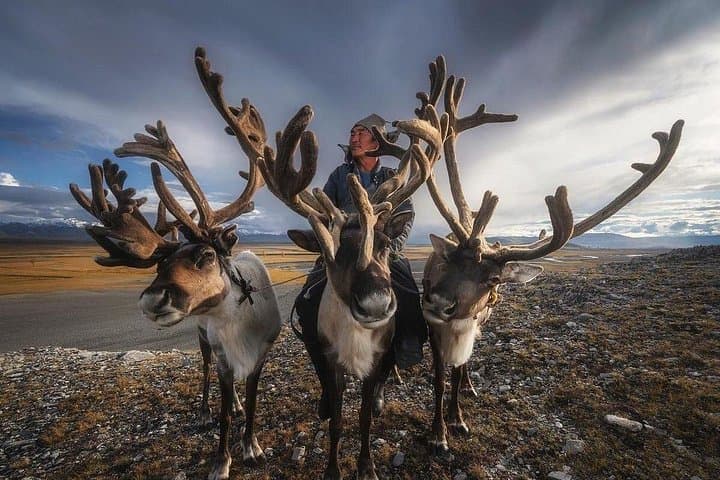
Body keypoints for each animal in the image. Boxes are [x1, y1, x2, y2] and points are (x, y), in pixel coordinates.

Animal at [69, 50, 283, 480]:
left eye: (205, 256)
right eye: (158, 265)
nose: (152, 299)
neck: (237, 321)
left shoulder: (260, 355)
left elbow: (252, 402)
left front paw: (252, 446)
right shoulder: (222, 355)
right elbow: (224, 408)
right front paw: (221, 459)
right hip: (202, 340)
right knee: (205, 373)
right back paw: (204, 410)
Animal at [402, 56, 683, 455]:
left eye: (493, 278)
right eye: (448, 260)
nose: (438, 302)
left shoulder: (469, 325)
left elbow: (456, 377)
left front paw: (457, 418)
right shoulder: (436, 329)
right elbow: (440, 381)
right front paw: (438, 433)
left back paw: (470, 384)